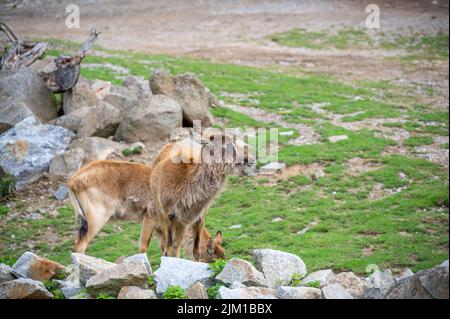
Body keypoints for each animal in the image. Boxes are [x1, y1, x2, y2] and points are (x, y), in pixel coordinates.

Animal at [67, 160, 225, 262]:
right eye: (213, 259)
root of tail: (73, 180)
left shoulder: (161, 230)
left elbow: (166, 251)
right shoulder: (150, 219)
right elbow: (143, 247)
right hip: (96, 219)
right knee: (80, 245)